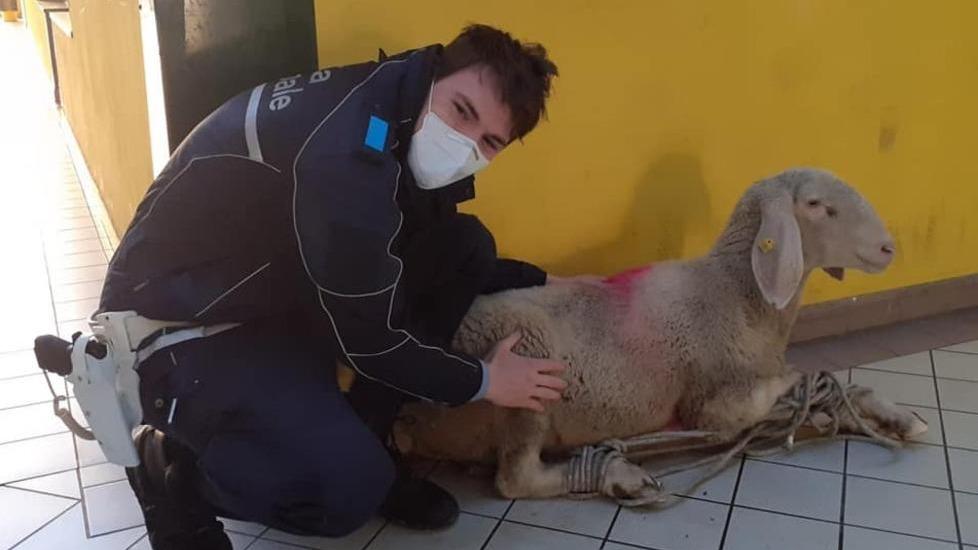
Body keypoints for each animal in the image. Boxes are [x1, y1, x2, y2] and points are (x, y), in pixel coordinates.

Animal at [391, 167, 927, 502]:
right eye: (816, 205)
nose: (888, 248)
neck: (735, 295)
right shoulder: (714, 401)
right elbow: (795, 384)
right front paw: (819, 397)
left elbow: (831, 390)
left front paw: (893, 417)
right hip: (527, 370)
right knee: (516, 479)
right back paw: (614, 474)